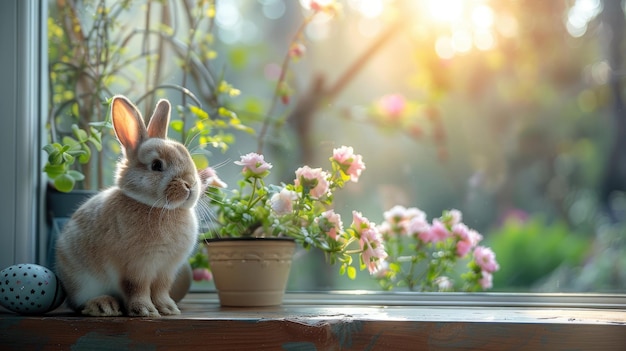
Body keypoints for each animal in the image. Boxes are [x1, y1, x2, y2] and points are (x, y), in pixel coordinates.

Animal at [54, 95, 208, 318]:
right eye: (156, 165)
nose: (190, 184)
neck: (158, 208)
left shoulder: (166, 270)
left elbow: (161, 290)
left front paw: (168, 309)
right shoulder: (136, 267)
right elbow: (137, 288)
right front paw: (146, 311)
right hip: (82, 282)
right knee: (80, 304)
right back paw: (104, 306)